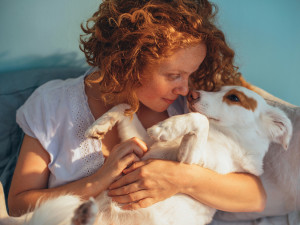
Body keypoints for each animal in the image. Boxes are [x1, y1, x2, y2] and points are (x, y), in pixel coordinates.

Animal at [0, 85, 292, 224]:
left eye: (234, 97)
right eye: (217, 88)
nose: (191, 92)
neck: (227, 136)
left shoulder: (191, 162)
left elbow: (199, 120)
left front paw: (167, 126)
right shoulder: (140, 143)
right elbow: (127, 106)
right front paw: (100, 124)